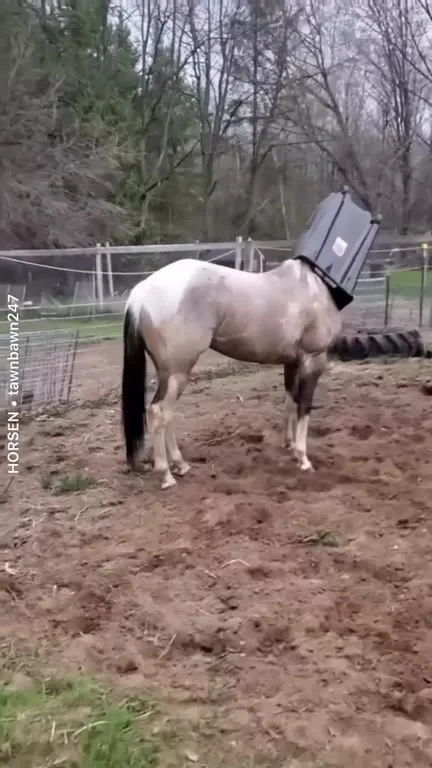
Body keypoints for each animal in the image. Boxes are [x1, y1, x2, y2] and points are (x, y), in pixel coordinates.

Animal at [121, 257, 342, 490]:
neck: (313, 286)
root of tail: (139, 295)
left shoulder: (291, 363)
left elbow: (290, 402)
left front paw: (288, 444)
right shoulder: (313, 360)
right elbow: (304, 408)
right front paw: (303, 459)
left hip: (168, 374)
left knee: (167, 414)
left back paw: (181, 465)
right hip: (177, 373)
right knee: (158, 413)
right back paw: (166, 475)